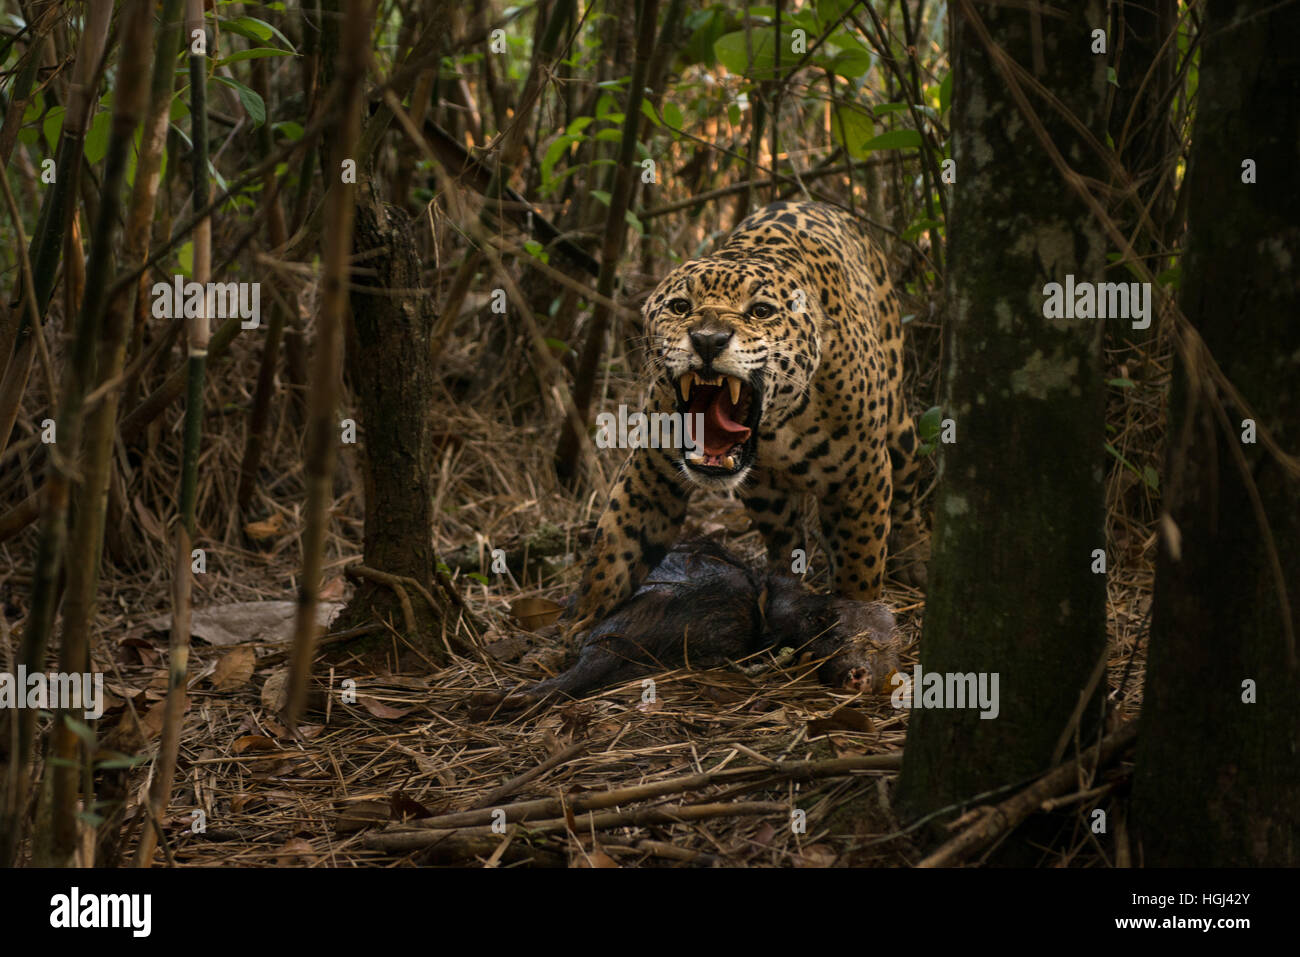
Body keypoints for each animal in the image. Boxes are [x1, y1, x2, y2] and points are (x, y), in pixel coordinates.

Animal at [568, 200, 924, 636]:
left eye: (761, 312)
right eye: (680, 307)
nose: (708, 340)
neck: (777, 426)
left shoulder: (861, 477)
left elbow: (860, 564)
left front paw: (860, 620)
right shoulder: (650, 474)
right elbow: (615, 545)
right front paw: (582, 623)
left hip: (899, 431)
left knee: (907, 493)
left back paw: (917, 558)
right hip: (763, 494)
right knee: (785, 538)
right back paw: (782, 586)